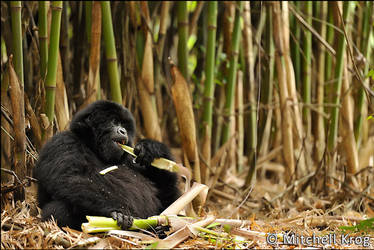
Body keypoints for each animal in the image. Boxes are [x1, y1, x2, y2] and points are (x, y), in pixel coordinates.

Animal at [33, 100, 181, 230]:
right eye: (114, 122)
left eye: (124, 125)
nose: (123, 131)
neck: (93, 147)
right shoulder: (63, 142)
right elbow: (72, 178)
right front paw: (117, 211)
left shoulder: (131, 158)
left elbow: (167, 193)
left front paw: (152, 148)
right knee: (59, 209)